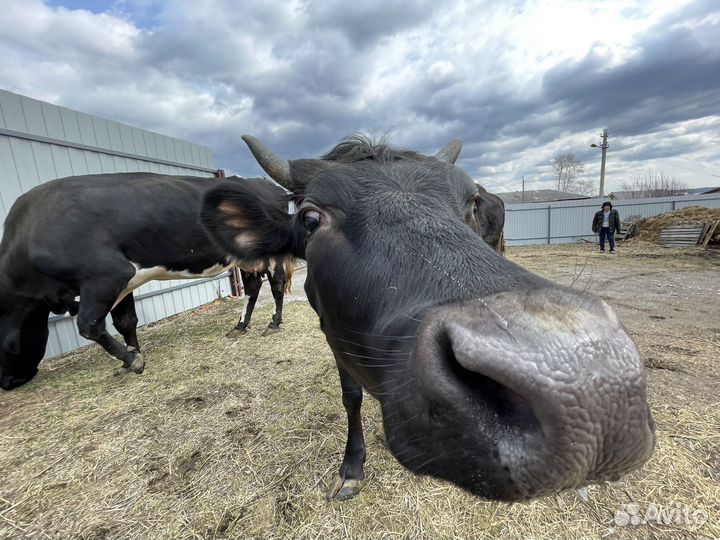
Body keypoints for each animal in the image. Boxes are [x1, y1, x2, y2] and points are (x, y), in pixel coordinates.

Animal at [0, 174, 292, 390]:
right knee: (253, 288)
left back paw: (274, 323)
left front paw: (133, 360)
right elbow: (124, 321)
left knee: (276, 284)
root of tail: (262, 182)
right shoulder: (123, 281)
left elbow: (88, 325)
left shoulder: (107, 274)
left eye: (4, 346)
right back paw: (240, 326)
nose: (7, 383)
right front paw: (128, 359)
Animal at [200, 134, 655, 502]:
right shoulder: (332, 334)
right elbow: (351, 398)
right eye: (311, 219)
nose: (592, 388)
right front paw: (352, 468)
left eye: (469, 203)